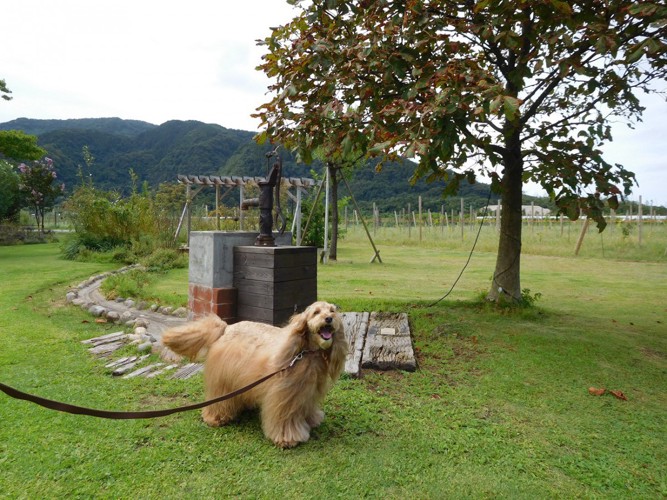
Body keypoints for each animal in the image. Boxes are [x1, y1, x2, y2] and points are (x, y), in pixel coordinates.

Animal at [162, 300, 348, 450]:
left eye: (332, 310)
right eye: (316, 312)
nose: (329, 319)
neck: (305, 353)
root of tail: (227, 327)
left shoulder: (307, 393)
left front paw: (312, 420)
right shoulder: (284, 396)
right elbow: (284, 419)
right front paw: (287, 438)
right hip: (223, 380)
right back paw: (216, 417)